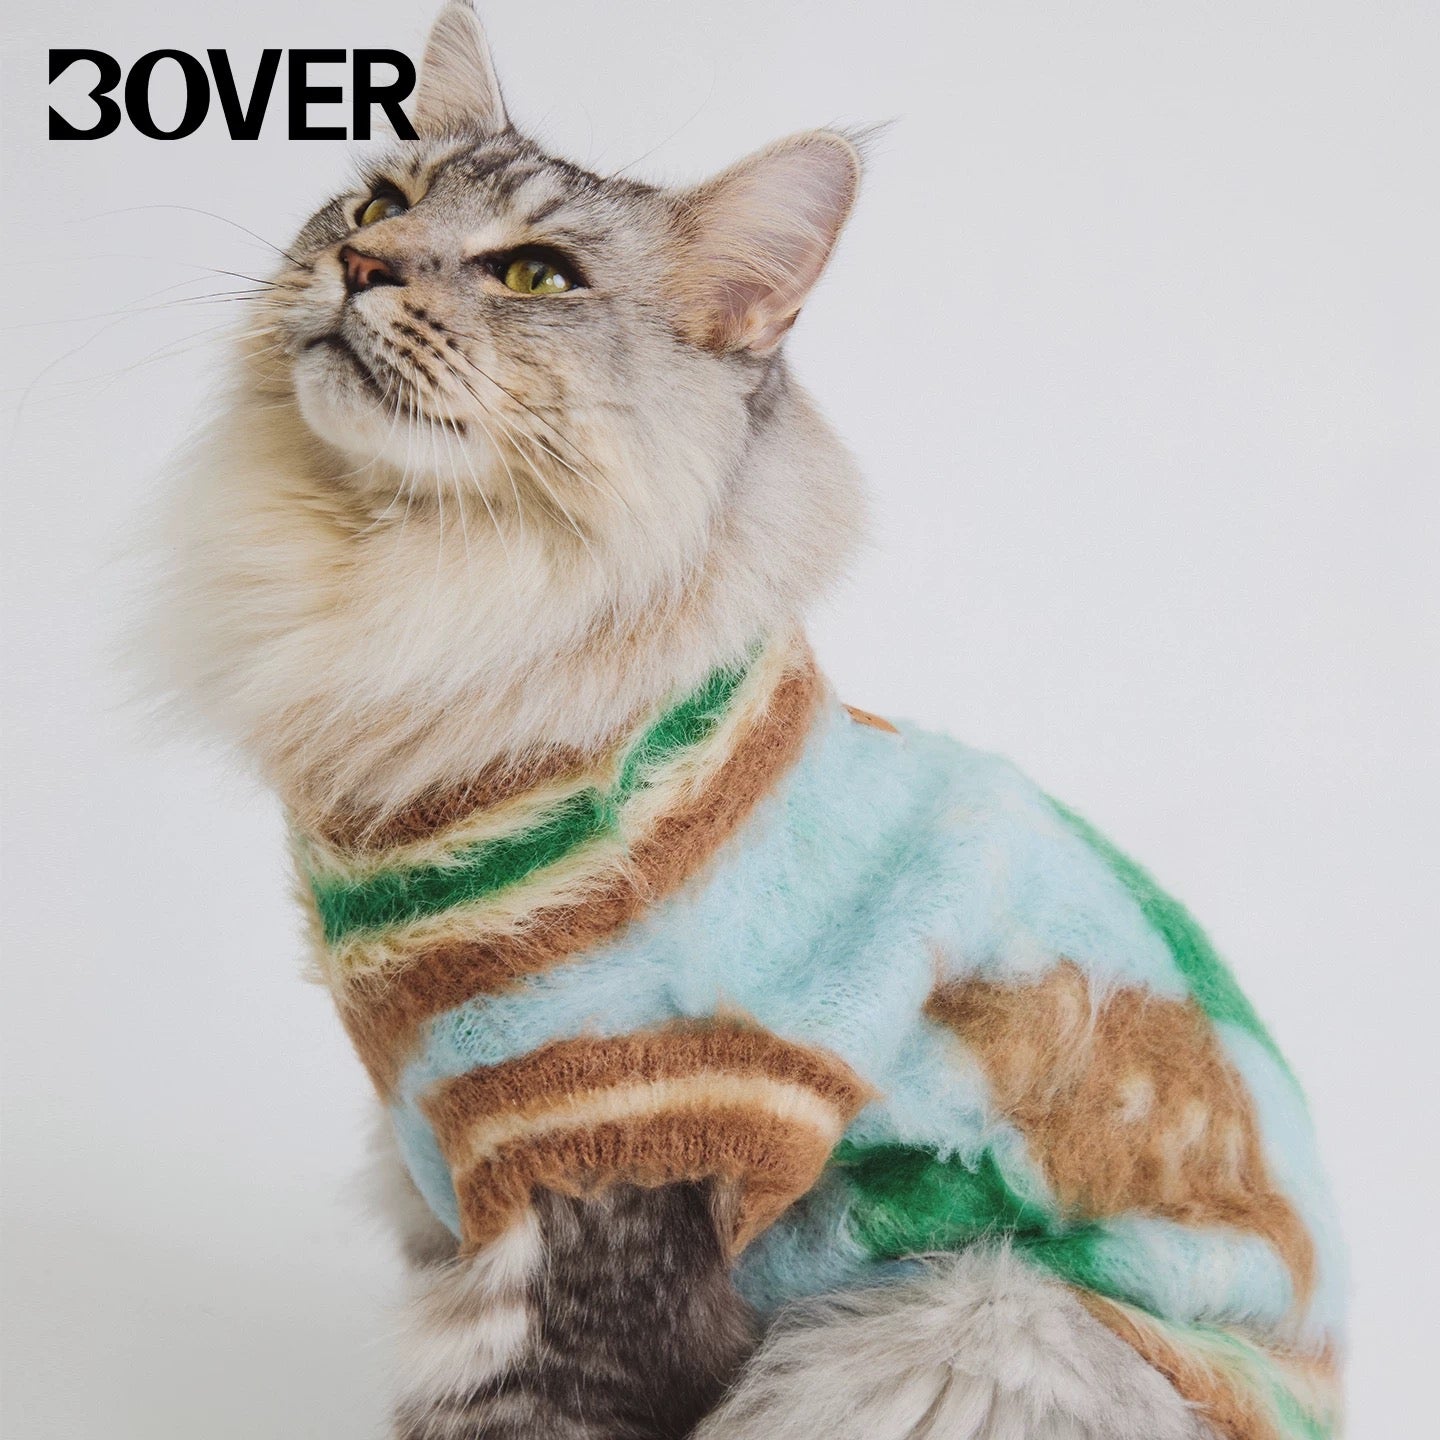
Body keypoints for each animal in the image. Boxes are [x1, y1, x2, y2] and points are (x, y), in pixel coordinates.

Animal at [153, 4, 1344, 1437]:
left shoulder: (602, 1181)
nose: (361, 261)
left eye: (537, 276)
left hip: (970, 1326)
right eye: (381, 200)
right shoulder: (446, 1178)